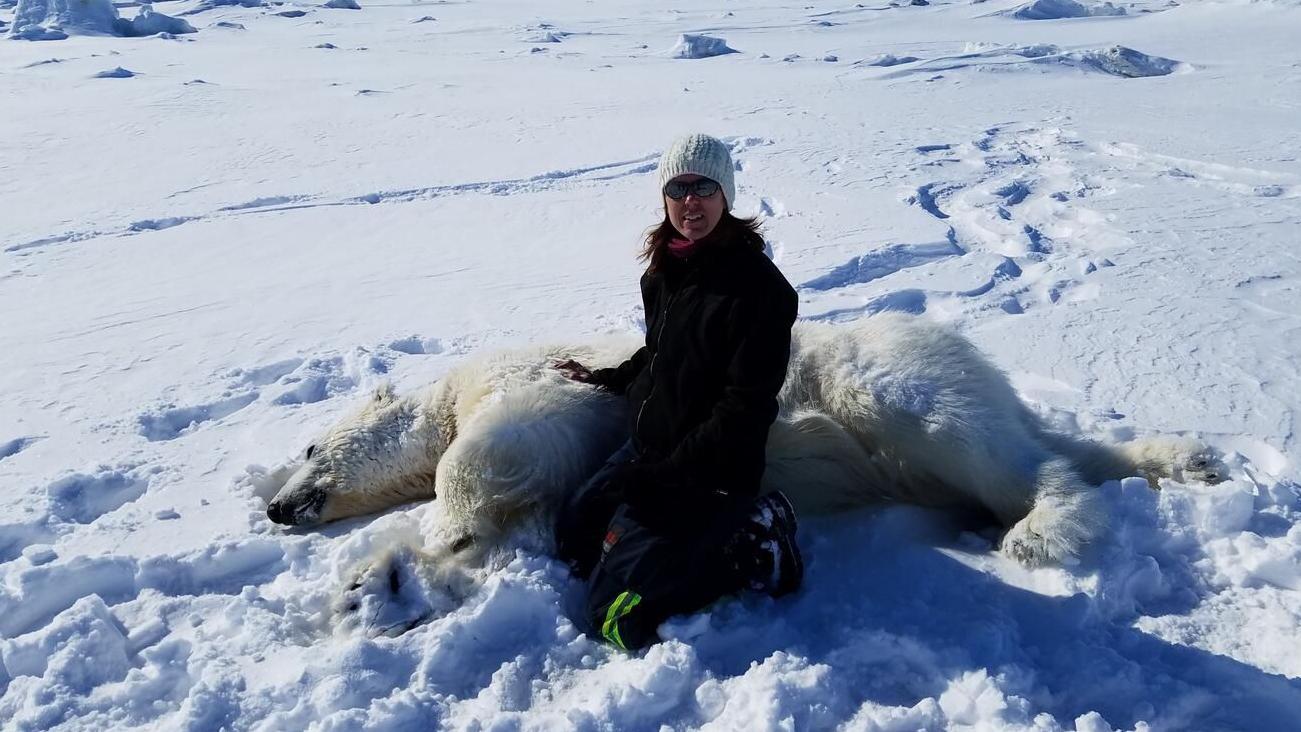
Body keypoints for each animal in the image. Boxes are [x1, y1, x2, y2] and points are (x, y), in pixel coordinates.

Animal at [264, 314, 1217, 637]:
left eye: (308, 450)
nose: (274, 507)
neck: (448, 394)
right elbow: (533, 524)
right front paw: (378, 586)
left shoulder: (546, 386)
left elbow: (499, 449)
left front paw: (434, 531)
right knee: (1024, 448)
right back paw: (1183, 459)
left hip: (880, 374)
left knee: (969, 436)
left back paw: (1038, 529)